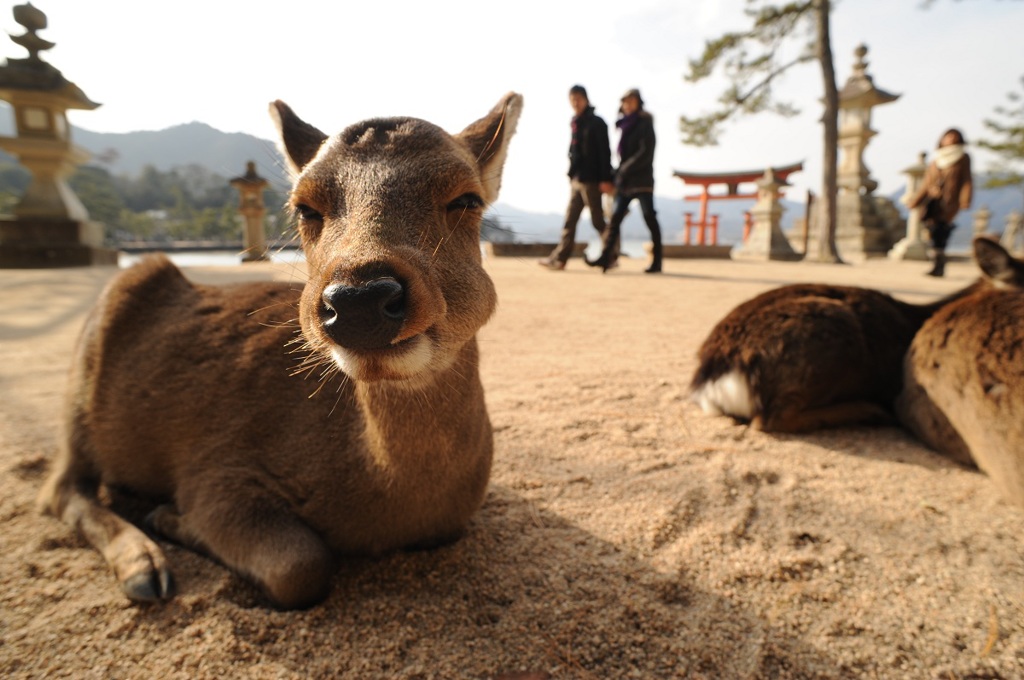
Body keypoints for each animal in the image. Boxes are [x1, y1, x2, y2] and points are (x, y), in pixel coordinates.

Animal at [37, 93, 524, 606]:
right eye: (304, 208)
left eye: (467, 199)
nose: (359, 299)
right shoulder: (214, 470)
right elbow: (300, 565)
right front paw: (169, 517)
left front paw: (165, 517)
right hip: (83, 381)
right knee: (60, 485)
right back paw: (144, 568)